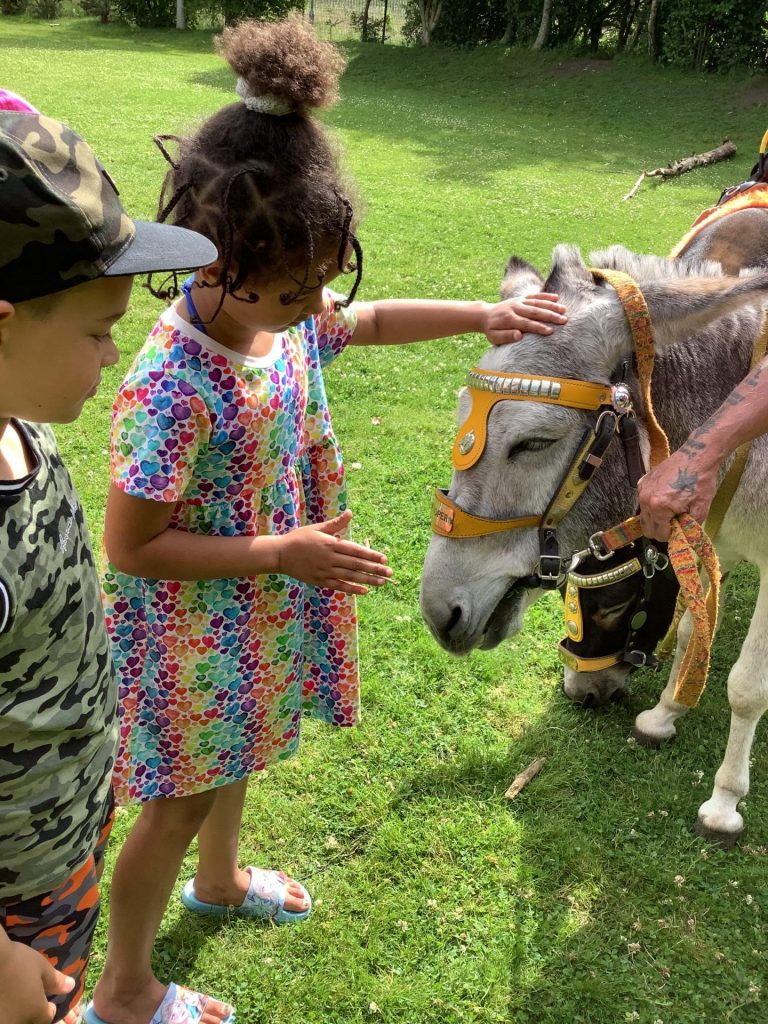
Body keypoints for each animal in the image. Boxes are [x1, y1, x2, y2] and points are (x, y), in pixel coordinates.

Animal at [420, 243, 768, 845]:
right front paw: (665, 713)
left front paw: (724, 802)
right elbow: (691, 631)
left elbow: (748, 686)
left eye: (535, 443)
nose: (440, 614)